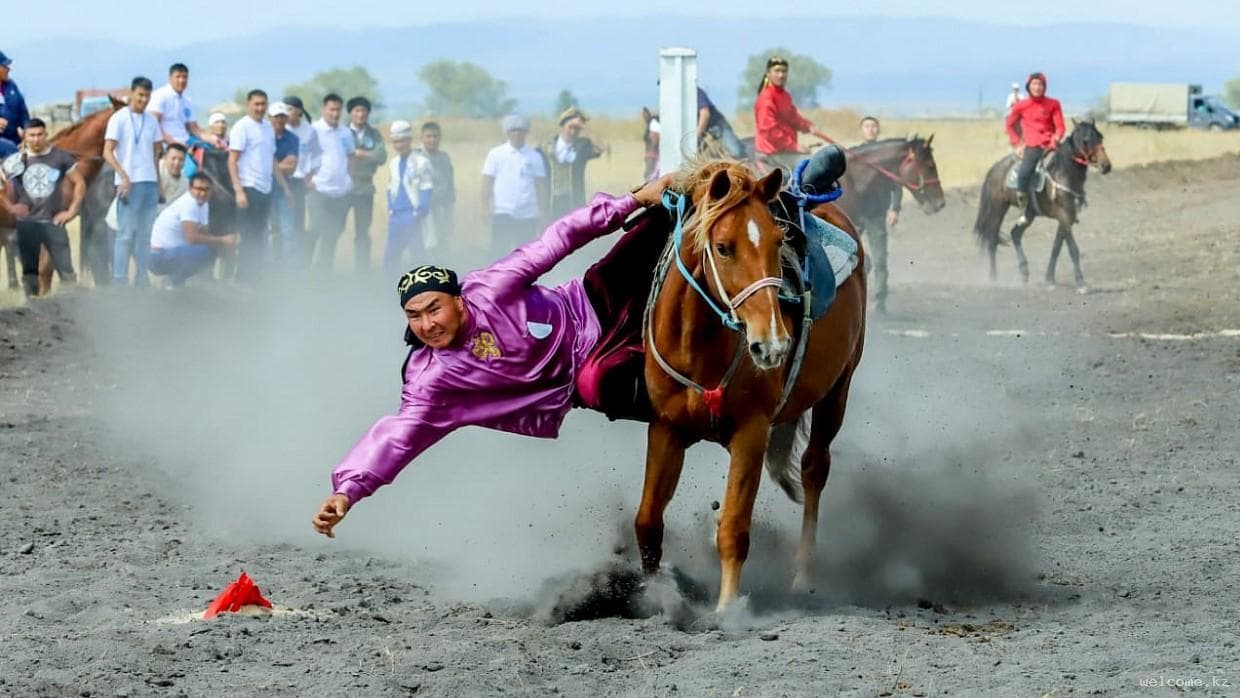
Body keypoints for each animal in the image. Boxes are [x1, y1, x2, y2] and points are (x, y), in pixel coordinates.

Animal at [977, 120, 1116, 292]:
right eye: (1086, 140)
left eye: (1101, 137)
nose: (1106, 166)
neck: (1064, 173)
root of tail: (995, 168)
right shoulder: (1064, 216)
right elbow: (1073, 249)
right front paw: (1081, 283)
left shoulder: (1068, 218)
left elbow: (1056, 248)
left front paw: (1049, 279)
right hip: (998, 207)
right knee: (992, 239)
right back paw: (993, 278)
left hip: (1029, 213)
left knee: (1015, 233)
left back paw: (1024, 272)